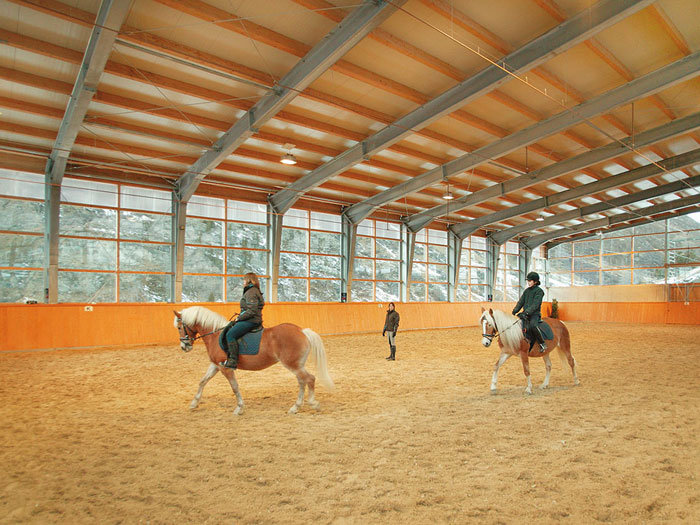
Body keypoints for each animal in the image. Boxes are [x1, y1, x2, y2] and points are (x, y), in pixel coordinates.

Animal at [172, 304, 330, 416]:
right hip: (297, 365)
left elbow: (234, 387)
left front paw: (239, 408)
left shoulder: (225, 368)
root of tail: (301, 331)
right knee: (302, 381)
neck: (215, 335)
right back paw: (295, 407)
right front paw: (194, 403)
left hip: (292, 364)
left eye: (179, 327)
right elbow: (202, 381)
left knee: (309, 379)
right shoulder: (216, 365)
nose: (184, 347)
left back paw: (312, 404)